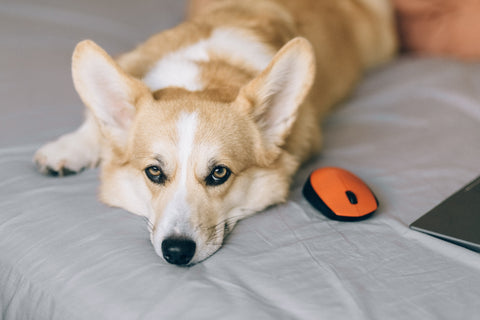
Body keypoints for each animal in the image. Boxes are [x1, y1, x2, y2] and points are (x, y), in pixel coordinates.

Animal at [32, 0, 394, 264]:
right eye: (154, 172)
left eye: (219, 173)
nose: (176, 253)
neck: (205, 74)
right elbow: (94, 122)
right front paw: (68, 149)